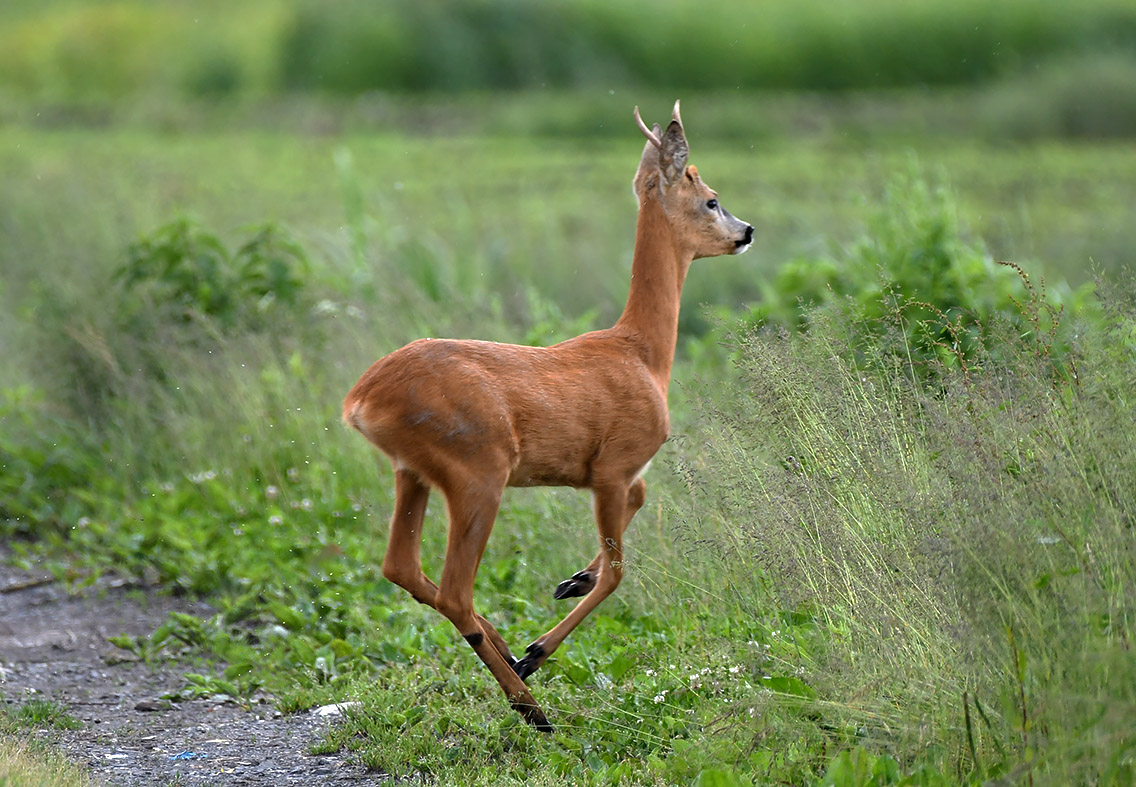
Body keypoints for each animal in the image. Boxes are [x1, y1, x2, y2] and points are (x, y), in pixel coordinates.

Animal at [345, 99, 754, 731]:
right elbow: (619, 570)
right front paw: (541, 644)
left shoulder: (606, 472)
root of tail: (361, 398)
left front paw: (570, 581)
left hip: (411, 471)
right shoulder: (612, 466)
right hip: (477, 470)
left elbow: (636, 509)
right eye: (710, 198)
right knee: (453, 589)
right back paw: (529, 702)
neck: (642, 353)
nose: (746, 231)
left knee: (402, 568)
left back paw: (509, 656)